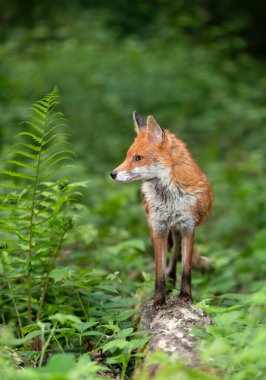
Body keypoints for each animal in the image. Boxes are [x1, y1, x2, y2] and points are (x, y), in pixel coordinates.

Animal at [109, 111, 212, 308]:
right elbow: (159, 273)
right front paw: (158, 300)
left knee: (175, 256)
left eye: (138, 158)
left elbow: (186, 269)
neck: (169, 200)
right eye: (127, 156)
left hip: (178, 232)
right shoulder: (158, 229)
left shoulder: (188, 228)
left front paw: (186, 296)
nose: (112, 174)